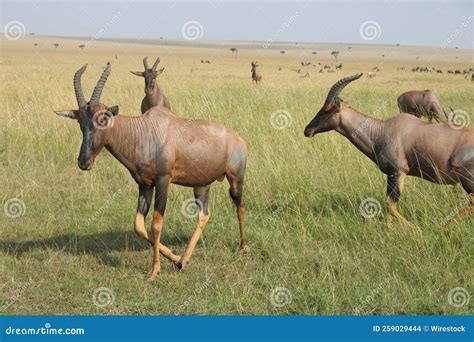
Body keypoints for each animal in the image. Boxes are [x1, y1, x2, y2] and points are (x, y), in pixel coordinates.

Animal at [54, 62, 248, 280]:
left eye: (103, 119)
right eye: (80, 122)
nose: (84, 162)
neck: (144, 131)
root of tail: (238, 138)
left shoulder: (163, 181)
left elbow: (156, 224)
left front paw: (154, 271)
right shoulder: (144, 184)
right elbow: (139, 226)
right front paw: (174, 257)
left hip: (235, 179)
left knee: (240, 207)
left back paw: (244, 248)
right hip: (201, 185)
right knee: (204, 215)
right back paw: (184, 260)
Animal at [304, 73, 474, 224]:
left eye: (327, 109)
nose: (307, 130)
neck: (383, 129)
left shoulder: (398, 172)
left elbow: (389, 205)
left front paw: (412, 227)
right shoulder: (391, 174)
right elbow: (389, 206)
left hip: (467, 180)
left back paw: (445, 226)